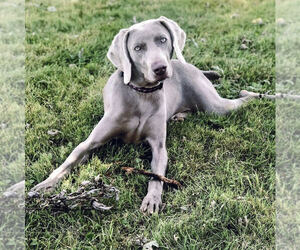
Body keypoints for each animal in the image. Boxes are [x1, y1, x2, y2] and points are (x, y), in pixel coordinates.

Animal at [31, 16, 260, 214]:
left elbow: (156, 175)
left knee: (241, 100)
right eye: (138, 48)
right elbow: (68, 162)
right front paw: (43, 185)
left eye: (163, 39)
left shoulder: (159, 146)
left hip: (215, 106)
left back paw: (256, 94)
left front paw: (152, 199)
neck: (141, 94)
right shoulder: (90, 143)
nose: (160, 68)